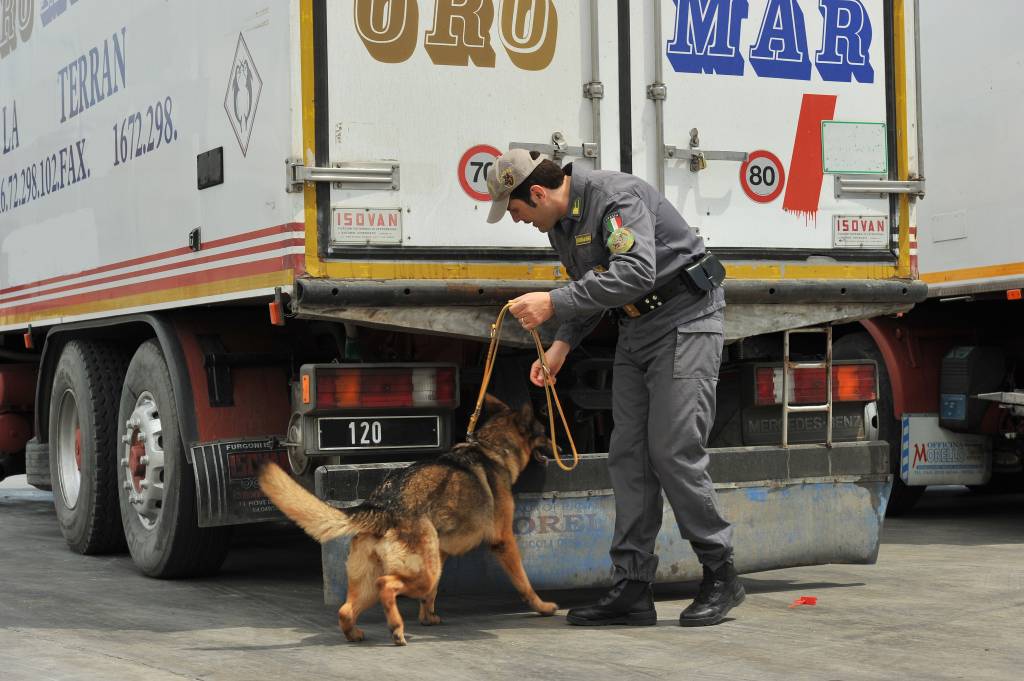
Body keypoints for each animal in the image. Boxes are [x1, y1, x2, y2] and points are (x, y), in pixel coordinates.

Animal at [260, 393, 557, 643]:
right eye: (544, 434)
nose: (559, 445)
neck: (491, 447)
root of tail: (384, 506)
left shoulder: (441, 553)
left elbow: (430, 596)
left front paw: (428, 618)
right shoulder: (504, 542)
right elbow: (524, 583)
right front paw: (542, 607)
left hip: (393, 576)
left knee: (346, 610)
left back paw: (356, 633)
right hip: (419, 573)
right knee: (386, 585)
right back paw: (396, 628)